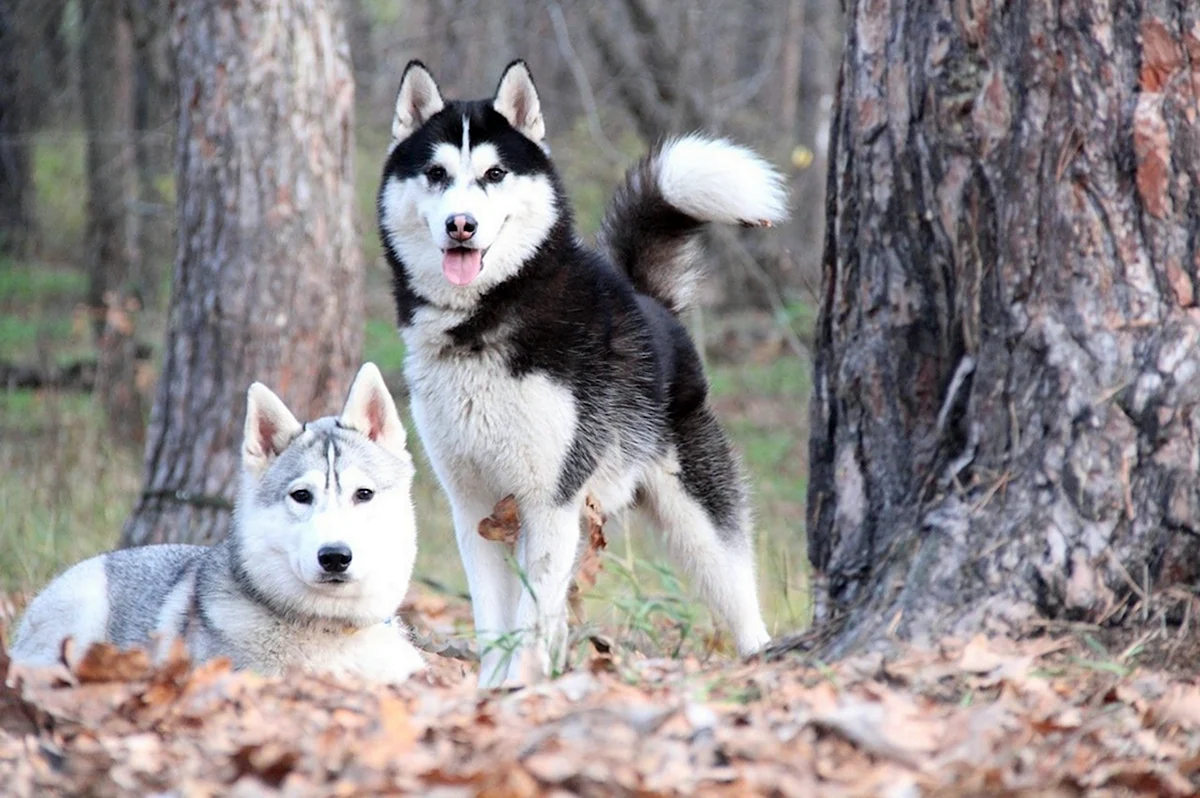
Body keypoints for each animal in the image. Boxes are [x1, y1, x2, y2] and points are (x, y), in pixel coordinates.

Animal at [376, 57, 787, 686]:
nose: (461, 225)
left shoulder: (550, 501)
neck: (484, 319)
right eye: (436, 174)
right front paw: (490, 690)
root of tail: (652, 304)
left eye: (495, 173)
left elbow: (529, 619)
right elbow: (494, 623)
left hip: (698, 524)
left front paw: (519, 688)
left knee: (740, 600)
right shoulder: (472, 505)